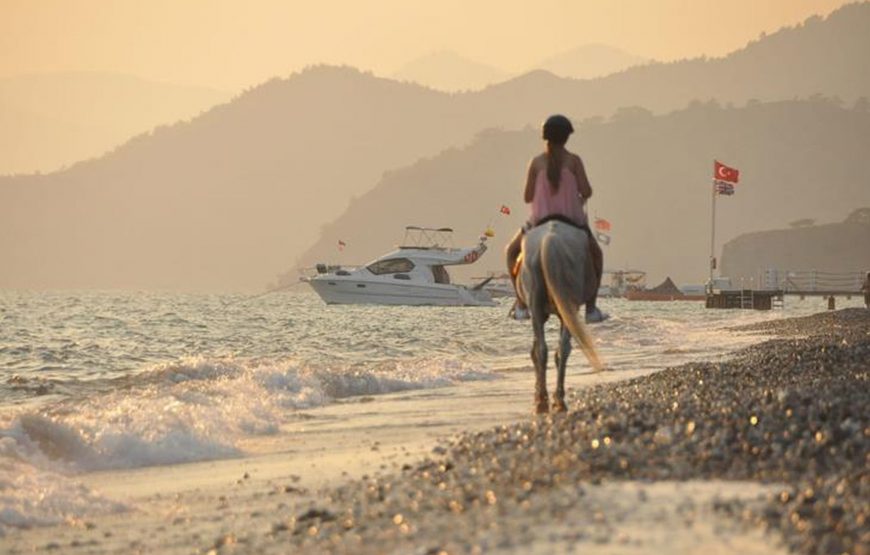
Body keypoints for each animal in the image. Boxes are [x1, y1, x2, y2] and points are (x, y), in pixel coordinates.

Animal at [516, 219, 604, 414]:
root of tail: (550, 240)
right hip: (565, 307)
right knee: (556, 349)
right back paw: (555, 400)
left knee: (548, 349)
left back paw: (546, 400)